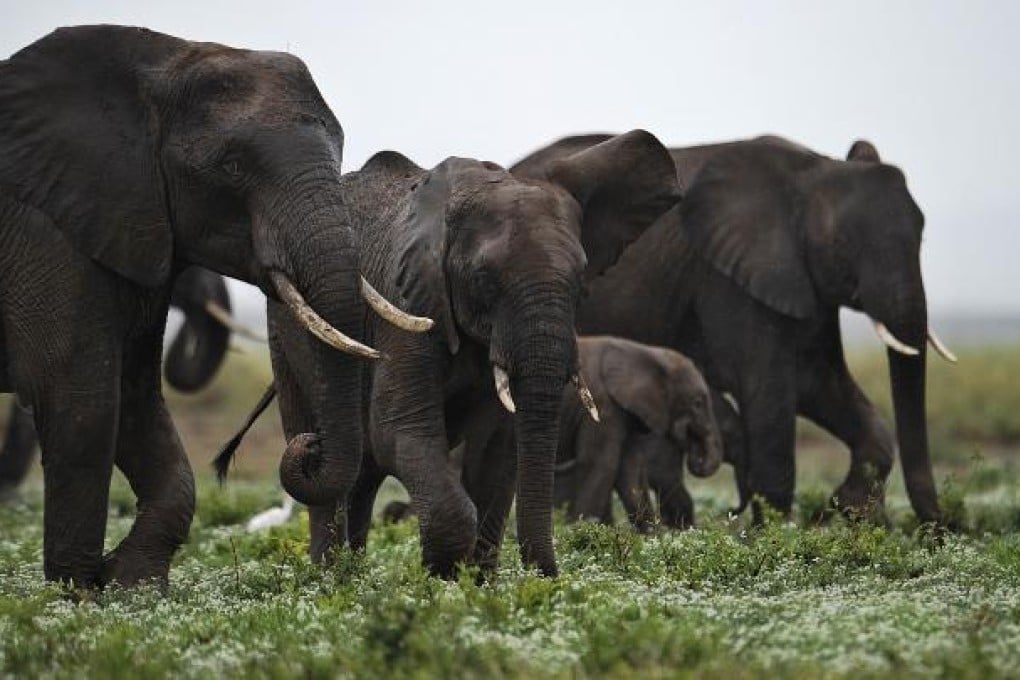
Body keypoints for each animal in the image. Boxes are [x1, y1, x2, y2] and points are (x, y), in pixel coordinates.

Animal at [216, 130, 682, 577]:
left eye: (581, 281)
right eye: (484, 279)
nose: (548, 577)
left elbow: (498, 449)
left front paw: (477, 587)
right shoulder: (407, 298)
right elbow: (399, 430)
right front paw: (440, 580)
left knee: (363, 472)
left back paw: (352, 576)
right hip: (284, 329)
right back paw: (329, 580)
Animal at [552, 336, 724, 533]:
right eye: (697, 403)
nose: (697, 462)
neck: (646, 352)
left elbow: (630, 473)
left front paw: (654, 535)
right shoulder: (603, 406)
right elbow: (601, 464)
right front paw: (579, 530)